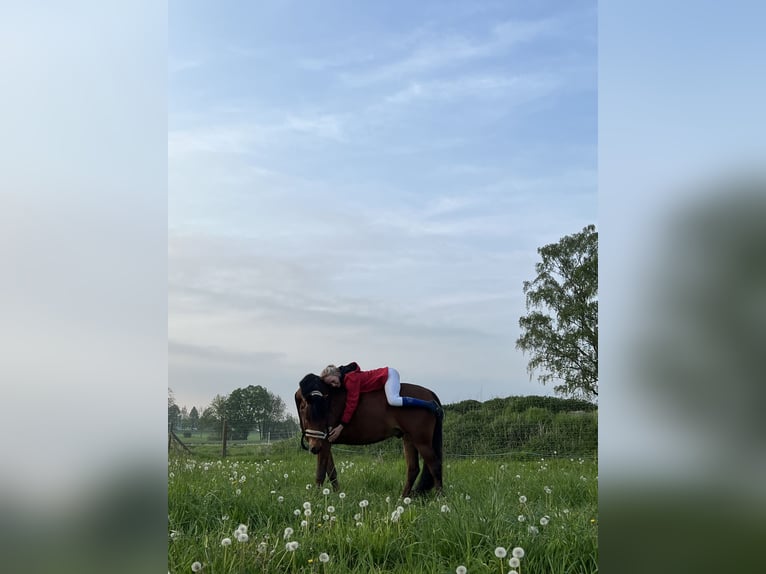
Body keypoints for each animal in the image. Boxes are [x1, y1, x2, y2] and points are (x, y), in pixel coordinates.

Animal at [296, 374, 448, 500]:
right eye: (305, 410)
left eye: (323, 410)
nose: (314, 447)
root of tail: (431, 397)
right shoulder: (325, 443)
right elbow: (331, 472)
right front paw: (337, 495)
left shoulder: (325, 442)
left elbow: (321, 472)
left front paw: (316, 499)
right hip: (409, 439)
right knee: (413, 469)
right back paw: (403, 499)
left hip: (421, 441)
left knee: (434, 466)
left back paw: (440, 499)